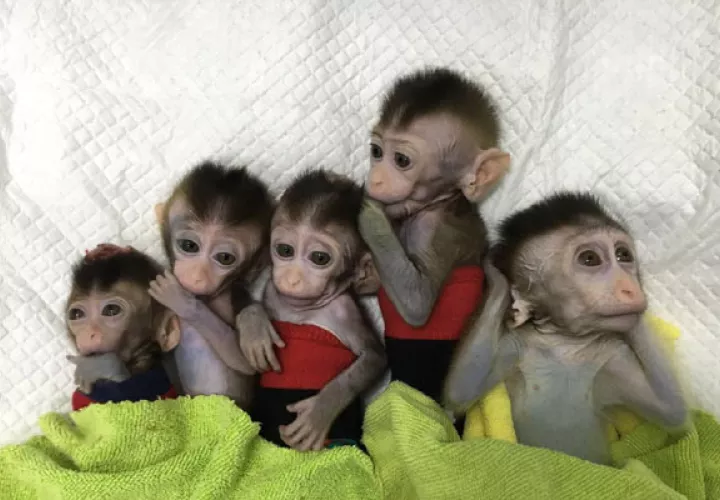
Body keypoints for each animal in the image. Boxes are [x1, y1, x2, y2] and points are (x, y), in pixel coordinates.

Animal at [240, 169, 387, 451]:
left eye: (320, 258)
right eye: (285, 250)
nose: (292, 278)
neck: (304, 312)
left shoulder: (345, 312)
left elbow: (374, 356)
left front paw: (321, 410)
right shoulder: (272, 291)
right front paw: (254, 327)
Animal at [358, 67, 511, 403]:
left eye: (401, 160)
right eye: (376, 152)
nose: (375, 179)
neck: (437, 201)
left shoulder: (434, 230)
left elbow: (417, 303)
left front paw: (369, 213)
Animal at [443, 192, 689, 464]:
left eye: (623, 255)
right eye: (590, 259)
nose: (630, 287)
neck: (565, 344)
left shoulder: (613, 355)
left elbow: (671, 409)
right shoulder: (516, 343)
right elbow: (460, 391)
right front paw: (495, 273)